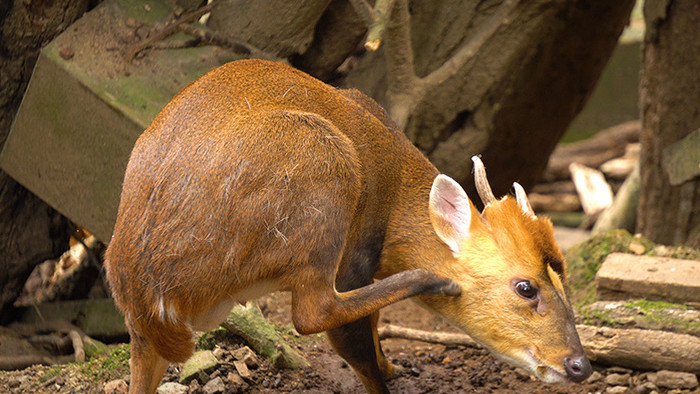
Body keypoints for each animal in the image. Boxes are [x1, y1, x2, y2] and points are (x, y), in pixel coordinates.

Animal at [105, 59, 592, 394]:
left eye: (564, 277)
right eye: (525, 287)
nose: (579, 364)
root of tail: (150, 299)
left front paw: (392, 363)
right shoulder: (355, 254)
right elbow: (351, 339)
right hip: (323, 171)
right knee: (314, 312)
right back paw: (431, 279)